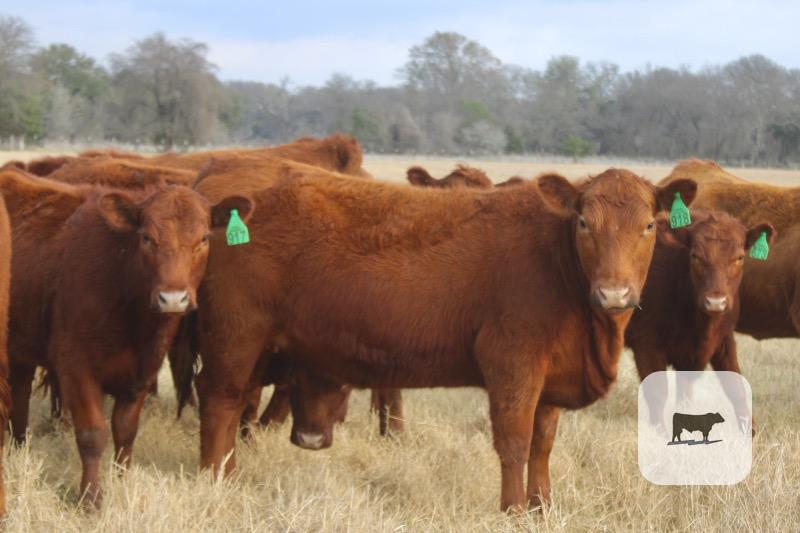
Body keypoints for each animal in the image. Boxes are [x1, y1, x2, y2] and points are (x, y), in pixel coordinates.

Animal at [0, 168, 252, 507]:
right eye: (146, 238)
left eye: (203, 238)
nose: (173, 298)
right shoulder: (76, 369)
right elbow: (92, 434)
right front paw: (91, 498)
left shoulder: (142, 373)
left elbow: (125, 430)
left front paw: (122, 479)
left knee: (19, 395)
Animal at [191, 161, 695, 512]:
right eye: (585, 223)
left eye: (649, 225)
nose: (614, 294)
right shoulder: (512, 363)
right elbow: (514, 441)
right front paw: (513, 509)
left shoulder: (551, 375)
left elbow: (542, 443)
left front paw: (543, 505)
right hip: (235, 334)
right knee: (220, 401)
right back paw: (214, 481)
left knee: (235, 403)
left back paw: (229, 474)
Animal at [626, 210, 774, 429]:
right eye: (695, 256)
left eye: (740, 257)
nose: (715, 302)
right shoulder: (646, 343)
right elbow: (658, 393)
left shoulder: (723, 339)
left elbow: (735, 386)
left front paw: (751, 429)